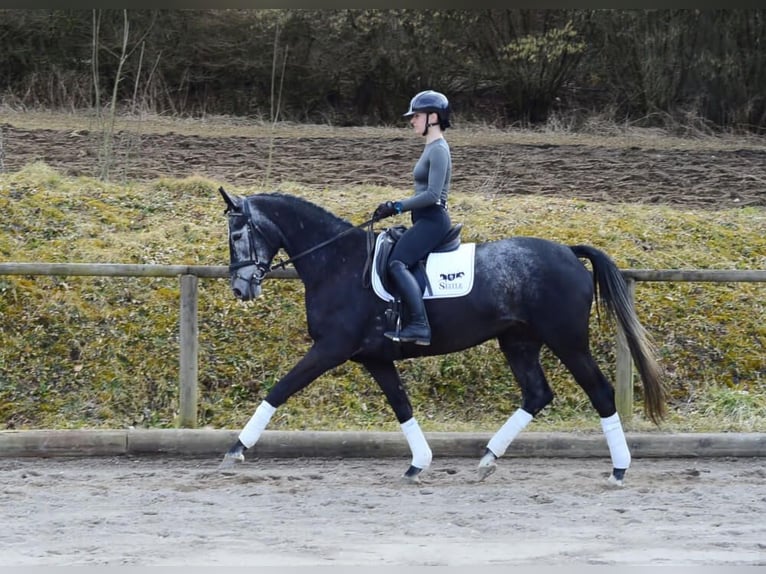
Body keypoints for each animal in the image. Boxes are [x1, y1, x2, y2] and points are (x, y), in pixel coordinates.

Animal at [216, 188, 664, 486]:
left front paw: (235, 450)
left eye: (238, 235)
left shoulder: (331, 348)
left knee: (599, 392)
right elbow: (401, 406)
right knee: (537, 394)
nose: (240, 288)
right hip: (518, 342)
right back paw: (488, 458)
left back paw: (619, 469)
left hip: (567, 340)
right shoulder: (374, 357)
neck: (337, 262)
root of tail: (569, 252)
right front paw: (419, 462)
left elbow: (280, 389)